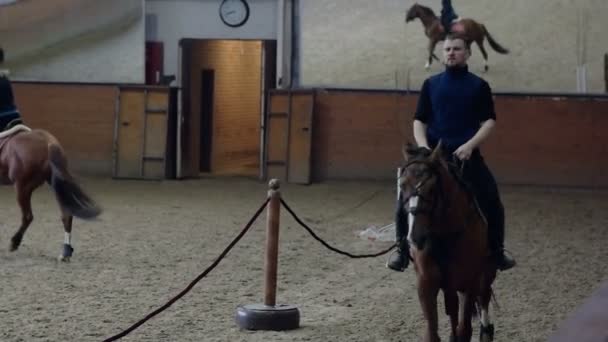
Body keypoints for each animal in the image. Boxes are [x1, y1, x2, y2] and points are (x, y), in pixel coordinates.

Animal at [0, 125, 102, 262]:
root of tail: (48, 141)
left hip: (22, 187)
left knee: (28, 216)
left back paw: (14, 242)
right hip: (55, 184)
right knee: (66, 216)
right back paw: (65, 253)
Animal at [400, 144, 498, 342]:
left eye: (431, 189)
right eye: (402, 185)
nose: (415, 237)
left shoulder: (470, 282)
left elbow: (464, 330)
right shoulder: (426, 284)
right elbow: (432, 333)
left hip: (486, 272)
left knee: (484, 297)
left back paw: (486, 330)